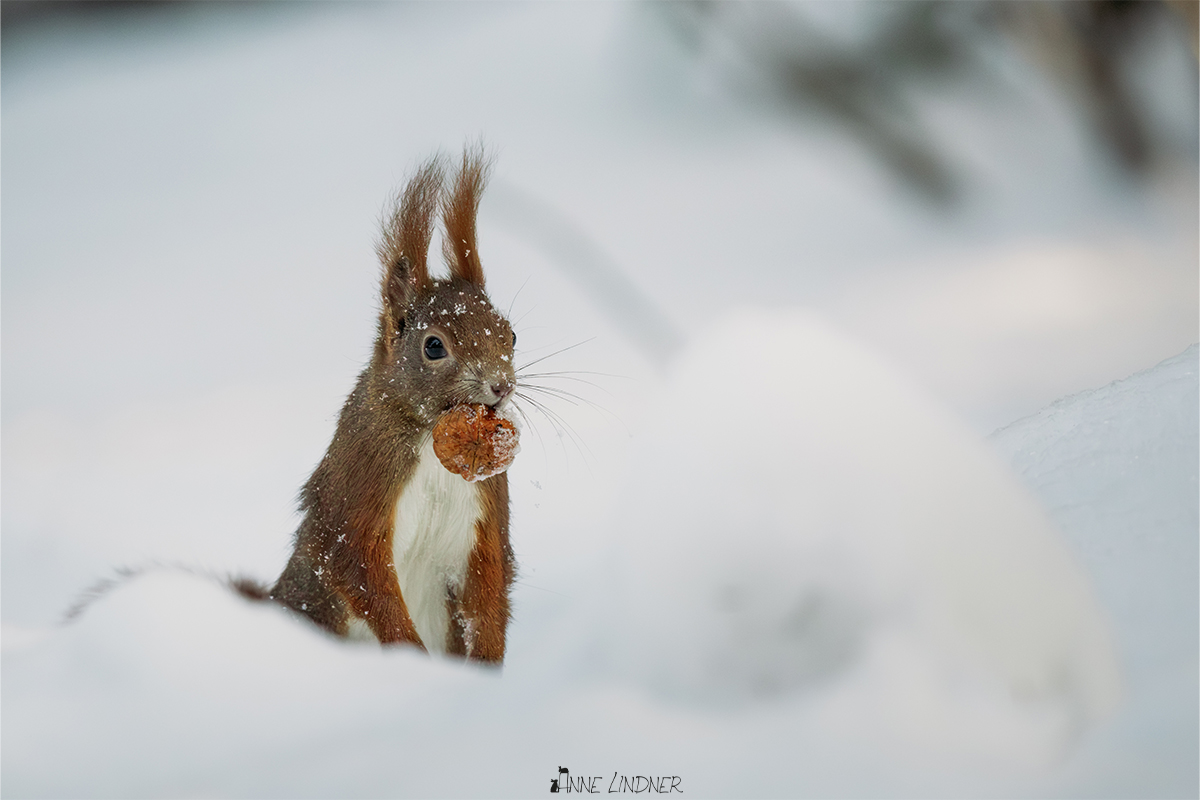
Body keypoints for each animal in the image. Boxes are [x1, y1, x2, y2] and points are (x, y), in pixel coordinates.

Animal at [263, 148, 519, 663]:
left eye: (512, 335)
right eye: (434, 346)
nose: (500, 386)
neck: (430, 439)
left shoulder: (486, 504)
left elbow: (490, 585)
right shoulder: (362, 479)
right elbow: (358, 566)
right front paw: (409, 652)